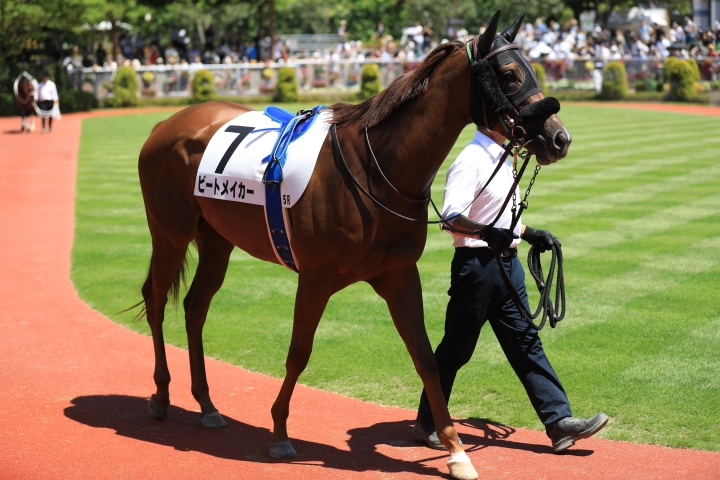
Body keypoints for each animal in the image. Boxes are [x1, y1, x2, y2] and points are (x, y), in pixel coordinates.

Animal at [135, 12, 570, 479]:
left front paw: (456, 450)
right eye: (509, 74)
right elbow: (299, 353)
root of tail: (165, 124)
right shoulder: (315, 278)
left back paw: (206, 405)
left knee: (195, 307)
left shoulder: (399, 275)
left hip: (216, 240)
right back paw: (161, 396)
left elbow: (426, 357)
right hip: (170, 233)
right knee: (156, 299)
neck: (374, 170)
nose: (559, 138)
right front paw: (279, 432)